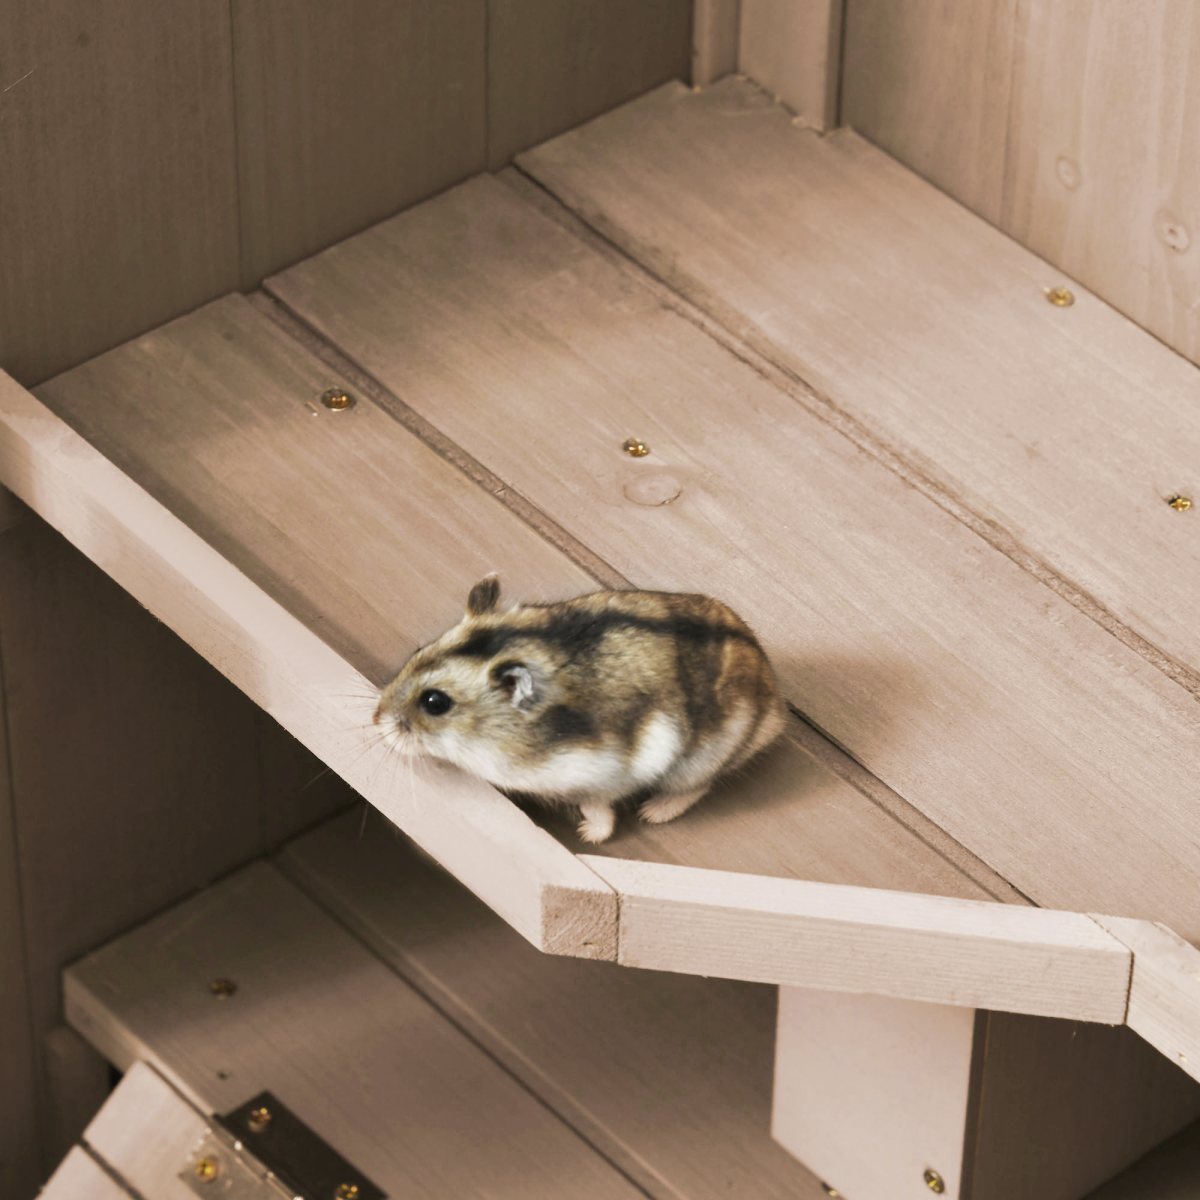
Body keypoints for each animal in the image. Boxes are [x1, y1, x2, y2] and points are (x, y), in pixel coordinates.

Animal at [373, 577, 787, 843]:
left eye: (435, 703)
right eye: (417, 651)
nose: (376, 722)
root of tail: (774, 707)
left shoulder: (596, 777)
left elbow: (598, 808)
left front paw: (588, 835)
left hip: (698, 763)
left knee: (697, 788)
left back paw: (652, 813)